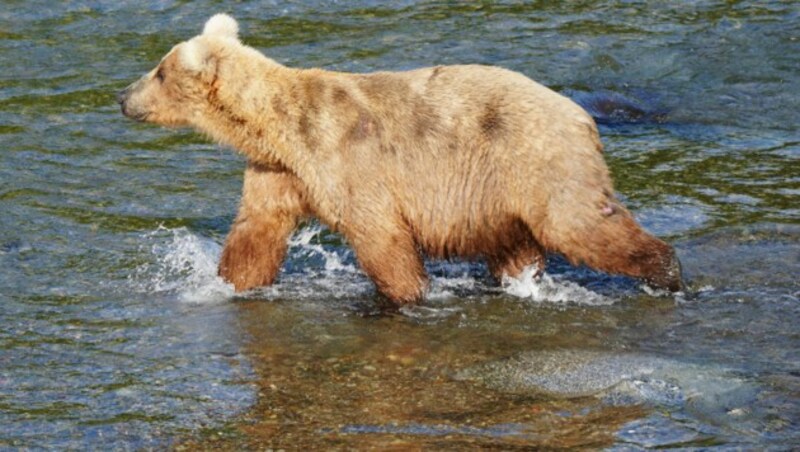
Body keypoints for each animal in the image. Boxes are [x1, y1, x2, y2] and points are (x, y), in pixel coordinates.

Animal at [119, 13, 680, 304]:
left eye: (159, 71)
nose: (123, 96)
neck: (279, 129)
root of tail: (583, 115)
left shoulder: (348, 160)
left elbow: (380, 237)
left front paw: (409, 296)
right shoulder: (279, 171)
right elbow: (257, 232)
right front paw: (225, 282)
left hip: (539, 162)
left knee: (581, 223)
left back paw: (666, 273)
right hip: (500, 198)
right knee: (516, 248)